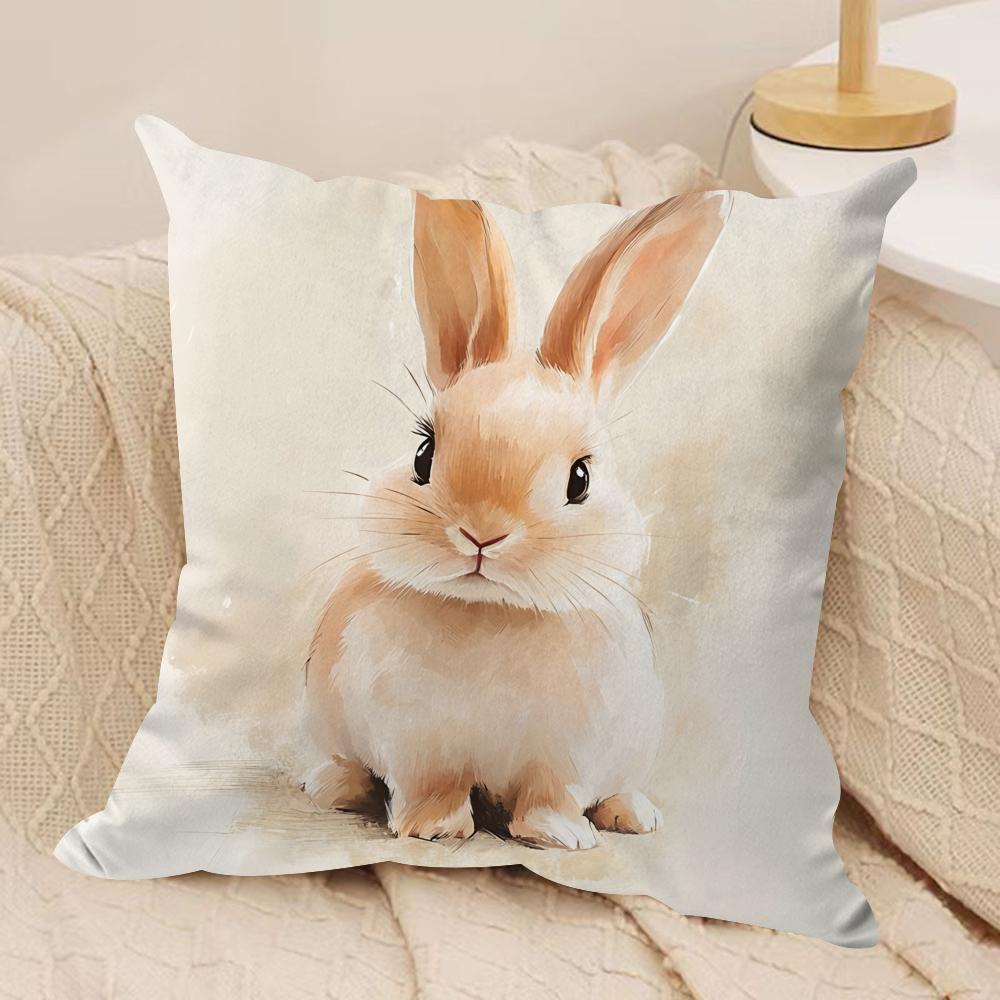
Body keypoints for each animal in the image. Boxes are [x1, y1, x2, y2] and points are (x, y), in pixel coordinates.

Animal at [302, 188, 730, 849]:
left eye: (581, 478)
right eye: (423, 455)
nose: (482, 533)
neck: (494, 612)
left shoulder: (566, 753)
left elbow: (551, 796)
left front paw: (560, 837)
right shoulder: (418, 746)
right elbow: (432, 787)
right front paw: (433, 830)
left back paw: (633, 815)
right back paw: (331, 788)